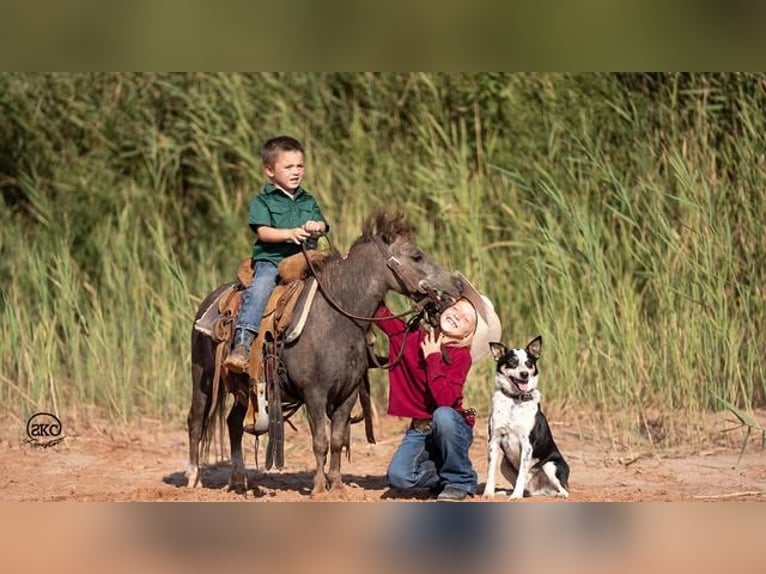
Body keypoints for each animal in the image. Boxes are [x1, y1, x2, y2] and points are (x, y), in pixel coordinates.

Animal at [486, 338, 568, 500]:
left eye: (529, 363)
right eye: (512, 362)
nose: (524, 374)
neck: (515, 400)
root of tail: (539, 489)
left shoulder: (527, 444)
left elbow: (521, 475)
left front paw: (516, 496)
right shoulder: (494, 440)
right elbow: (490, 470)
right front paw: (488, 493)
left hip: (549, 465)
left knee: (564, 489)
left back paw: (558, 494)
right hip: (505, 465)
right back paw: (507, 492)